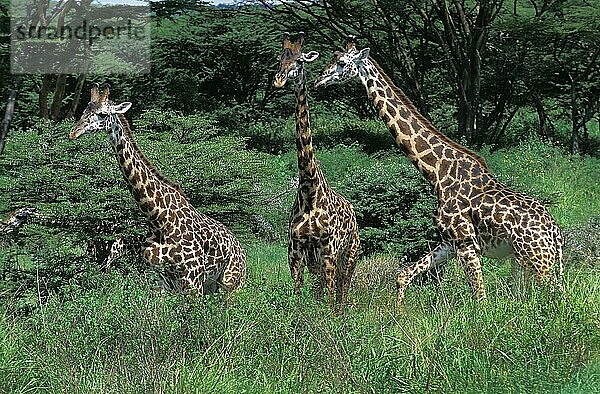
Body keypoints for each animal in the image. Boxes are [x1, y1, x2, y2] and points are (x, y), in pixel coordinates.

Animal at [70, 84, 246, 298]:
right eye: (84, 110)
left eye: (103, 114)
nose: (73, 133)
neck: (158, 219)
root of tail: (241, 249)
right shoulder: (161, 282)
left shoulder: (192, 280)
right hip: (211, 285)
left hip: (231, 284)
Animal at [274, 32, 358, 310]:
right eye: (280, 59)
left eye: (299, 60)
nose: (279, 79)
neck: (309, 188)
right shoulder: (295, 252)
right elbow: (299, 296)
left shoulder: (329, 250)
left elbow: (331, 300)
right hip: (317, 263)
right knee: (322, 289)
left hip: (350, 254)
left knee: (342, 291)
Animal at [314, 37, 564, 304]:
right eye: (333, 57)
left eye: (341, 62)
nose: (318, 79)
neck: (438, 173)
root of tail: (555, 234)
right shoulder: (449, 242)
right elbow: (403, 275)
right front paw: (399, 310)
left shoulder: (466, 243)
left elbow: (480, 299)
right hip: (525, 260)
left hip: (540, 261)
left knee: (558, 297)